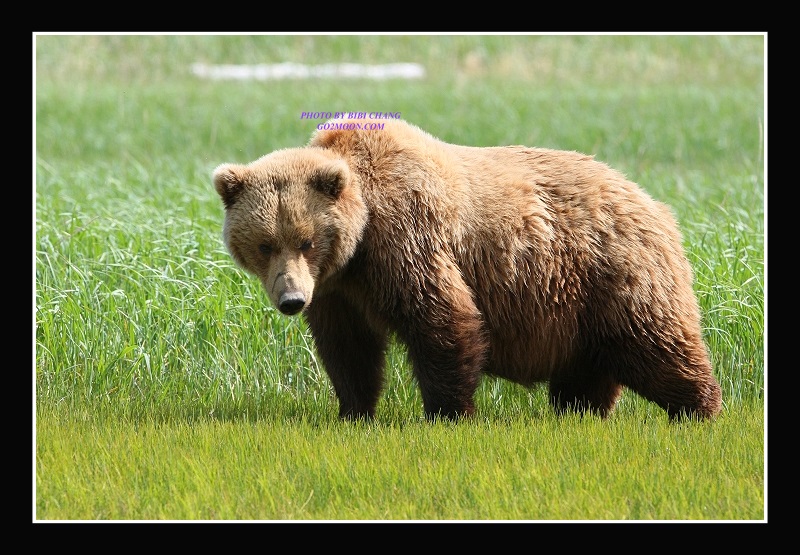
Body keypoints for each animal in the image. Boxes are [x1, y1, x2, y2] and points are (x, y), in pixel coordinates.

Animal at [213, 117, 722, 422]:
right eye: (265, 244)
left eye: (306, 240)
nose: (291, 300)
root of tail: (654, 202)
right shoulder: (340, 289)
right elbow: (349, 348)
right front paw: (353, 412)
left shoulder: (406, 240)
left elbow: (442, 319)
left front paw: (447, 414)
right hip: (577, 306)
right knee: (589, 369)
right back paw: (578, 413)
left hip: (614, 272)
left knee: (656, 344)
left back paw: (699, 411)